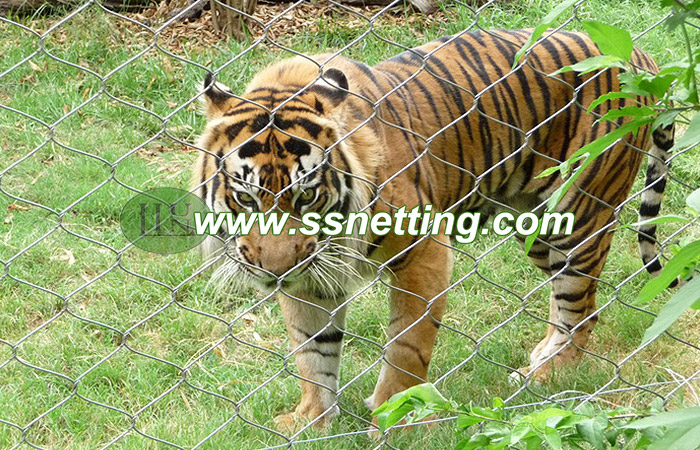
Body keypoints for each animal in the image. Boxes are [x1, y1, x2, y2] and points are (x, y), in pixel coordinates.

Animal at [192, 28, 674, 429]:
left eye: (306, 197)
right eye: (246, 199)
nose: (276, 272)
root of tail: (639, 55)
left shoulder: (422, 251)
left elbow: (408, 346)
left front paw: (395, 419)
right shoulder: (312, 273)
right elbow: (313, 352)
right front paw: (312, 420)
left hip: (577, 216)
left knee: (582, 304)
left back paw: (549, 373)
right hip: (536, 226)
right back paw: (543, 357)